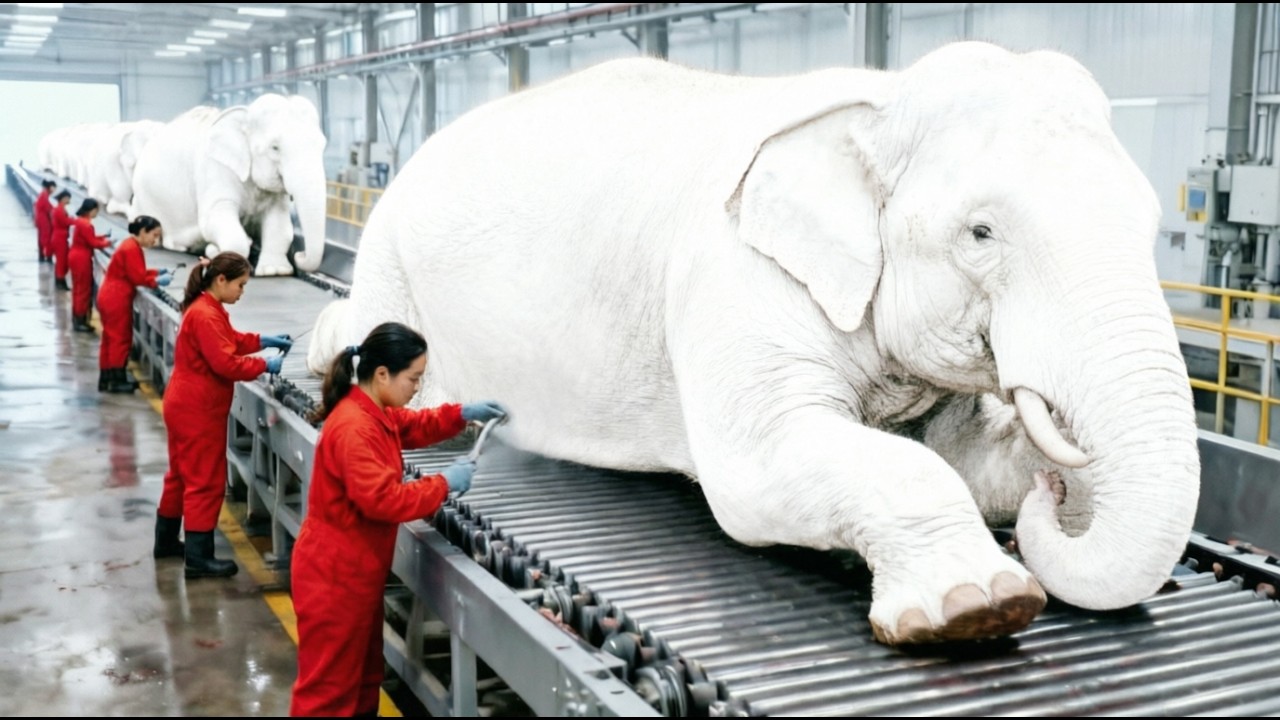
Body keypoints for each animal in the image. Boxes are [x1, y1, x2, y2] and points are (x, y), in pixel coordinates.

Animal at [131, 93, 328, 276]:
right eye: (275, 148)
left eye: (322, 145)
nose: (300, 255)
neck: (243, 114)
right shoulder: (214, 168)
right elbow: (214, 220)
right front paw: (216, 251)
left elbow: (280, 224)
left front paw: (274, 270)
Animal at [306, 42, 1201, 645]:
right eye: (981, 233)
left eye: (1153, 224)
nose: (1060, 488)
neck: (875, 107)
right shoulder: (729, 276)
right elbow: (754, 469)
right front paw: (975, 607)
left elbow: (961, 458)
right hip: (389, 252)